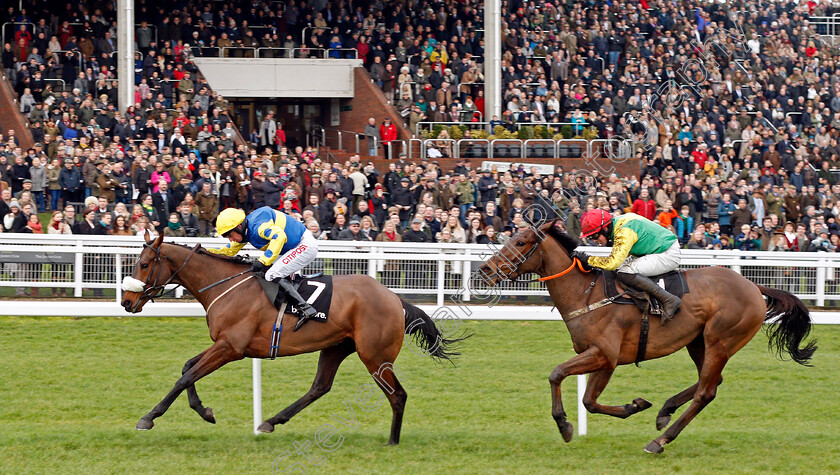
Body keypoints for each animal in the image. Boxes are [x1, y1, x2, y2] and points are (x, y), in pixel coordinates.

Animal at [123, 234, 466, 446]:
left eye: (144, 264)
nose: (127, 301)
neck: (224, 285)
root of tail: (395, 299)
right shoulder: (223, 344)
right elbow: (187, 369)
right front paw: (204, 411)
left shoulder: (231, 348)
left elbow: (186, 377)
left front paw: (148, 418)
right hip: (336, 347)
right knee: (320, 387)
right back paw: (271, 421)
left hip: (375, 356)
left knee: (397, 395)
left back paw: (392, 441)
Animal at [480, 221, 812, 456]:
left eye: (520, 242)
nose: (484, 269)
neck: (586, 292)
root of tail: (754, 287)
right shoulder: (599, 357)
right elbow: (587, 400)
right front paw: (635, 405)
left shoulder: (606, 355)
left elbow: (559, 375)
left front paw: (564, 424)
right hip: (698, 342)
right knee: (711, 382)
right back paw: (665, 411)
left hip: (721, 340)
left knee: (706, 392)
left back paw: (660, 440)